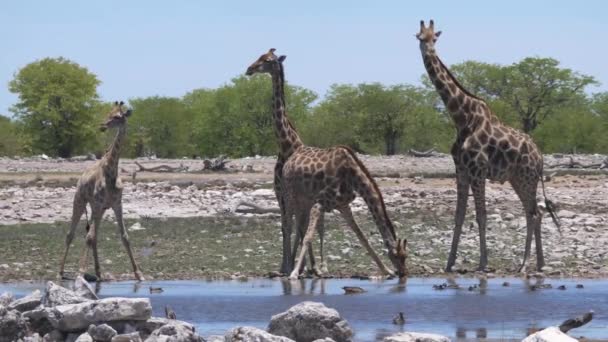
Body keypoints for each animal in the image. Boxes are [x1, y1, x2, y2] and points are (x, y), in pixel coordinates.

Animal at [59, 101, 145, 280]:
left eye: (118, 116)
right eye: (108, 114)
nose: (103, 126)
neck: (111, 171)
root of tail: (80, 178)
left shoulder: (117, 204)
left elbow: (125, 236)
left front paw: (139, 273)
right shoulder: (99, 204)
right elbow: (88, 237)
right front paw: (81, 271)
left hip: (98, 209)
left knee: (94, 236)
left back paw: (99, 272)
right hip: (80, 201)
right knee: (72, 234)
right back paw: (61, 271)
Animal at [245, 48, 406, 280]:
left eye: (266, 60)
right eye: (400, 256)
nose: (249, 69)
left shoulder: (340, 204)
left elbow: (360, 235)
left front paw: (384, 270)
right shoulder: (316, 201)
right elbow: (306, 233)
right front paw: (296, 271)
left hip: (299, 199)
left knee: (296, 226)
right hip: (287, 195)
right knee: (288, 226)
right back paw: (288, 266)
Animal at [416, 20, 560, 272]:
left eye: (435, 38)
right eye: (420, 38)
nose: (430, 51)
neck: (461, 118)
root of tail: (541, 156)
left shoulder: (477, 170)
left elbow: (481, 215)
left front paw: (483, 263)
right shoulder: (461, 170)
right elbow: (459, 216)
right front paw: (449, 263)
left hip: (527, 177)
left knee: (533, 213)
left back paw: (524, 264)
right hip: (518, 178)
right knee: (534, 212)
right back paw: (539, 263)